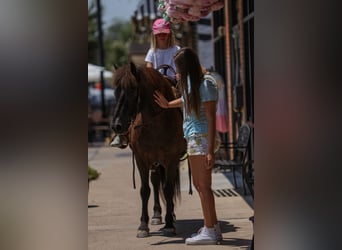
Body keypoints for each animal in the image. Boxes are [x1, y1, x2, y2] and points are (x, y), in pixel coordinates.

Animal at [111, 62, 187, 238]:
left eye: (133, 88)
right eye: (115, 90)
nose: (117, 125)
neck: (155, 123)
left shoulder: (171, 159)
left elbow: (168, 189)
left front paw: (169, 224)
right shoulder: (141, 159)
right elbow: (145, 190)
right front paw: (143, 225)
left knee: (165, 185)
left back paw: (170, 215)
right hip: (154, 163)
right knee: (155, 181)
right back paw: (157, 215)